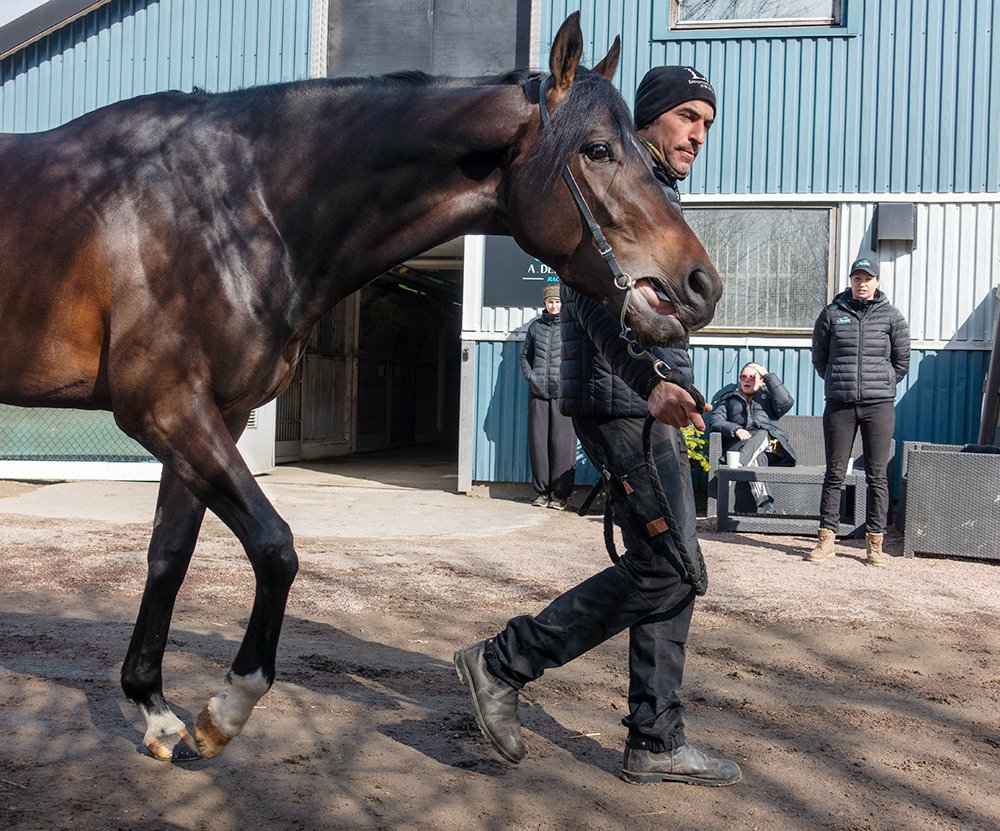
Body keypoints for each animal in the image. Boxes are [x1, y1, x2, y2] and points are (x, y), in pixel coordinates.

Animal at [0, 13, 720, 764]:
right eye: (599, 150)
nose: (701, 284)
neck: (231, 206)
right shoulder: (162, 407)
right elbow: (275, 546)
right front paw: (226, 707)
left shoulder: (208, 413)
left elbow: (169, 555)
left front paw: (157, 712)